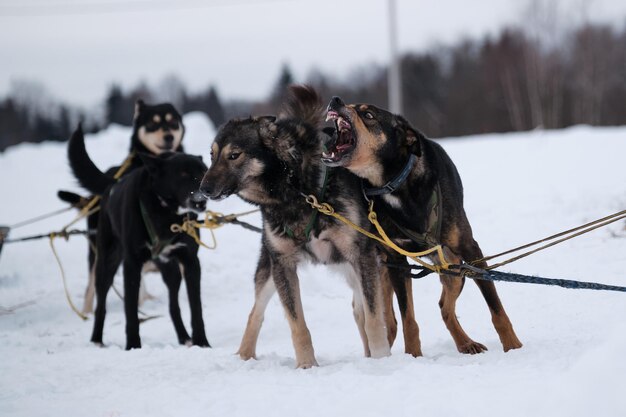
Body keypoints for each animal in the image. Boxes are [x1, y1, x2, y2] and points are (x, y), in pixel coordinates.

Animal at [58, 101, 185, 314]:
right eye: (153, 123)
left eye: (172, 121)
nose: (168, 136)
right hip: (100, 250)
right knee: (91, 286)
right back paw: (88, 313)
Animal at [69, 128, 208, 350]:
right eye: (184, 175)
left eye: (204, 172)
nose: (204, 194)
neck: (166, 213)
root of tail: (112, 184)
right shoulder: (132, 264)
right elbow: (131, 310)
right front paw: (133, 345)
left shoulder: (190, 261)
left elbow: (196, 309)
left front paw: (202, 343)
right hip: (106, 263)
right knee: (101, 303)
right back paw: (96, 339)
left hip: (171, 271)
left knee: (173, 305)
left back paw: (184, 337)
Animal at [199, 85, 390, 368]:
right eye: (211, 156)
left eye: (234, 155)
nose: (203, 188)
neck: (295, 189)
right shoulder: (283, 263)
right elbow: (297, 325)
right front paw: (306, 367)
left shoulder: (361, 256)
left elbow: (374, 319)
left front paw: (381, 361)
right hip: (270, 267)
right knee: (256, 312)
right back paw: (244, 356)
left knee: (361, 311)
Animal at [320, 97, 520, 354]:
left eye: (368, 114)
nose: (335, 100)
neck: (396, 184)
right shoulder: (397, 261)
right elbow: (408, 319)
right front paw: (413, 355)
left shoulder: (470, 249)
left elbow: (496, 307)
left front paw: (513, 346)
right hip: (384, 269)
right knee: (393, 318)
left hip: (454, 267)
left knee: (445, 307)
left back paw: (465, 343)